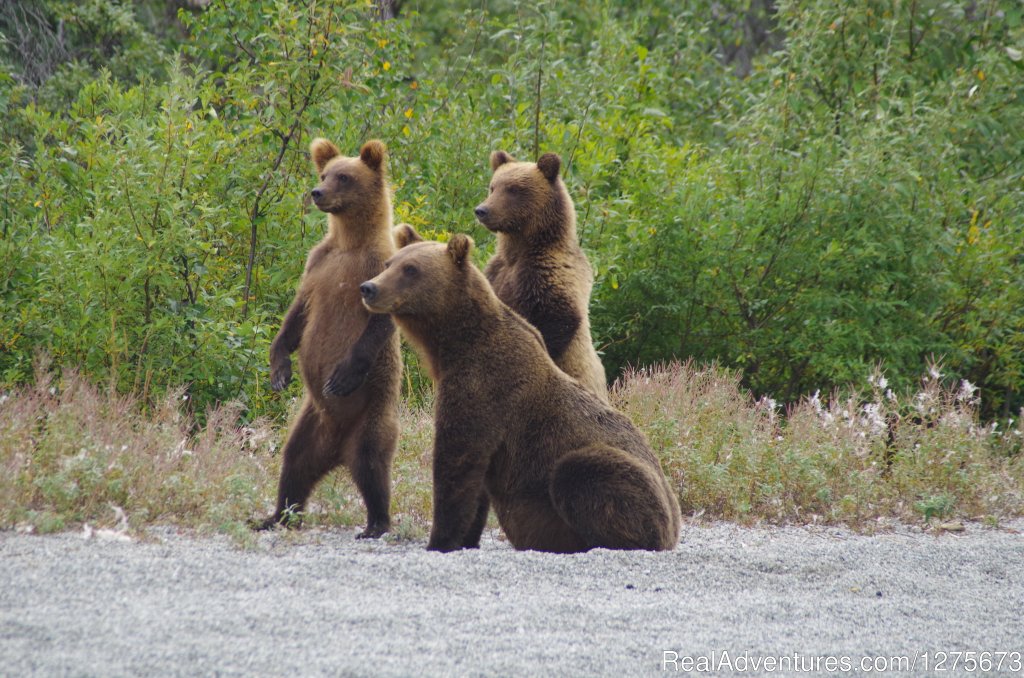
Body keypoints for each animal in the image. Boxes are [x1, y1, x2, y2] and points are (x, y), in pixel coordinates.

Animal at [253, 140, 401, 540]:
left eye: (345, 177)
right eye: (324, 173)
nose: (317, 192)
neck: (350, 242)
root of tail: (337, 449)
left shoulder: (379, 267)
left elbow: (379, 322)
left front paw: (342, 376)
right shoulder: (318, 264)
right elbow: (298, 315)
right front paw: (279, 370)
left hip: (371, 413)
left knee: (371, 463)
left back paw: (376, 523)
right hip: (310, 423)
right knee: (294, 463)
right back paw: (275, 516)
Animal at [356, 232, 684, 553]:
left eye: (411, 269)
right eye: (389, 263)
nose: (369, 287)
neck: (453, 345)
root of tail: (675, 526)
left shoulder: (483, 387)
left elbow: (457, 462)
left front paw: (439, 541)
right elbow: (477, 483)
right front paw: (466, 538)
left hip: (635, 488)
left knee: (580, 470)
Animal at [473, 149, 606, 403]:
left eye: (513, 189)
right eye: (493, 187)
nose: (482, 210)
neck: (520, 248)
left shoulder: (547, 273)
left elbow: (558, 318)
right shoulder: (497, 272)